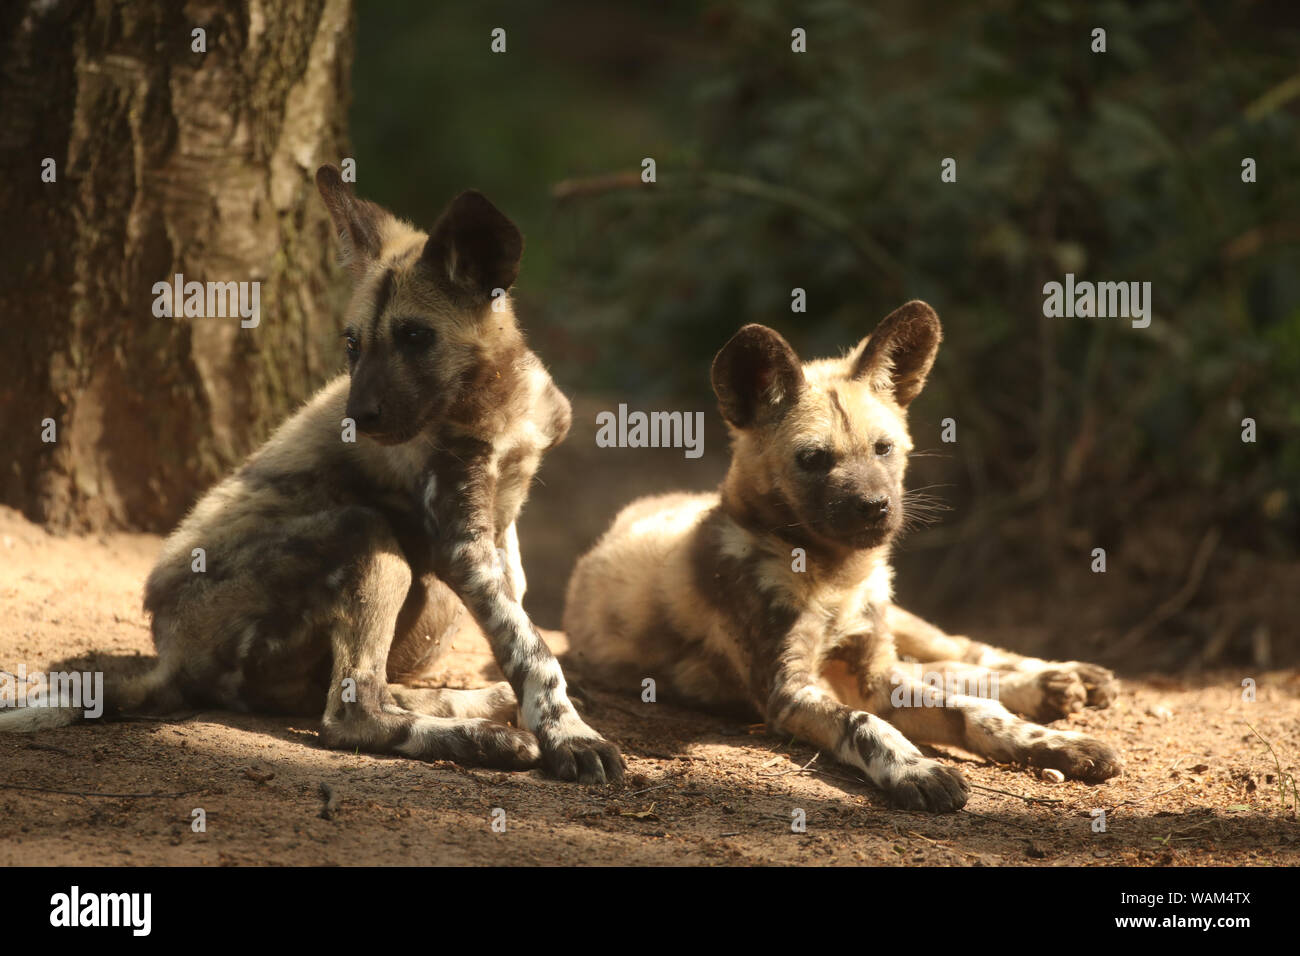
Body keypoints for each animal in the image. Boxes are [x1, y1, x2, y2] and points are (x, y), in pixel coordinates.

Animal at [0, 167, 621, 790]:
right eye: (352, 344)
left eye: (415, 337)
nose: (359, 417)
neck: (499, 403)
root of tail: (170, 656)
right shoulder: (462, 547)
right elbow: (533, 650)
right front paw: (569, 735)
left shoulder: (498, 525)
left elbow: (520, 625)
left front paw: (546, 714)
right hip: (367, 537)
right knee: (349, 715)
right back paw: (484, 736)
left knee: (348, 693)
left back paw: (479, 703)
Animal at [564, 303, 1123, 811]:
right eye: (813, 459)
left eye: (884, 448)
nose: (876, 507)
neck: (833, 576)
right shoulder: (793, 692)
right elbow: (866, 723)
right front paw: (917, 769)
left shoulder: (871, 673)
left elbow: (975, 710)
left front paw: (1057, 745)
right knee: (943, 667)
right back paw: (1053, 687)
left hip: (902, 624)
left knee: (963, 652)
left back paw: (1061, 678)